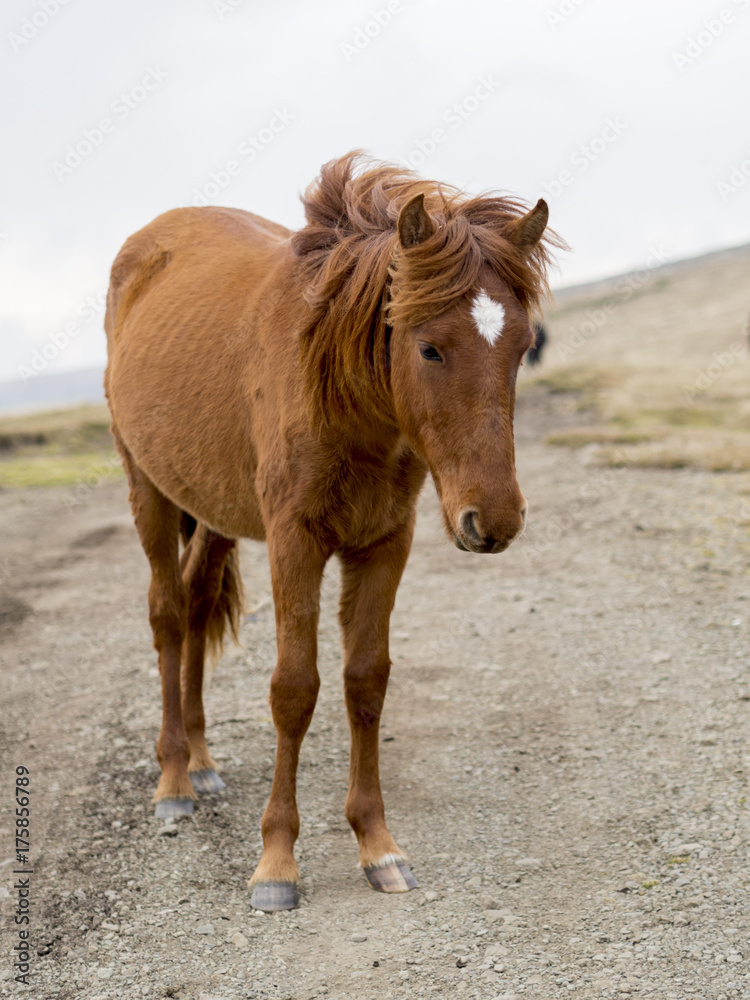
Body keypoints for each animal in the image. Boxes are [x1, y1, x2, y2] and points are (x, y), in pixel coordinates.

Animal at [104, 152, 560, 912]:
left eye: (523, 347)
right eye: (430, 348)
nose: (493, 520)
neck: (342, 392)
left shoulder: (384, 544)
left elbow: (365, 682)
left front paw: (378, 846)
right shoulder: (296, 543)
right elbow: (295, 689)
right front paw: (277, 863)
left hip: (216, 511)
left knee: (195, 607)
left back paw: (201, 761)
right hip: (150, 491)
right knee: (167, 615)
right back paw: (173, 782)